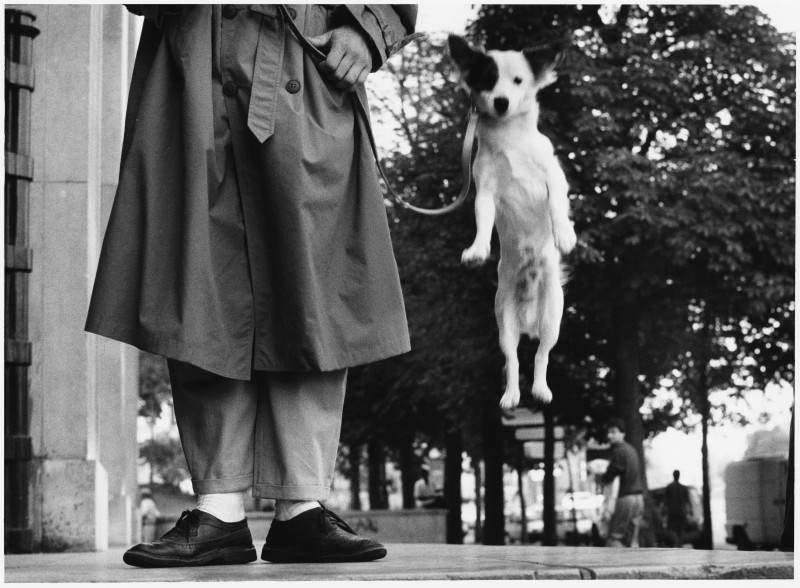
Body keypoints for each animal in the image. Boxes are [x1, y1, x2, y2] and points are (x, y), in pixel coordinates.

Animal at [450, 35, 576, 408]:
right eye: (487, 80)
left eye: (519, 81)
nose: (502, 102)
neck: (510, 142)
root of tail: (529, 318)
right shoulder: (485, 191)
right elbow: (482, 221)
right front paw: (477, 250)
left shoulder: (554, 177)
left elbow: (557, 205)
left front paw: (564, 234)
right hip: (504, 324)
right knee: (514, 358)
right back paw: (512, 395)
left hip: (553, 320)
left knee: (542, 355)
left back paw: (541, 389)